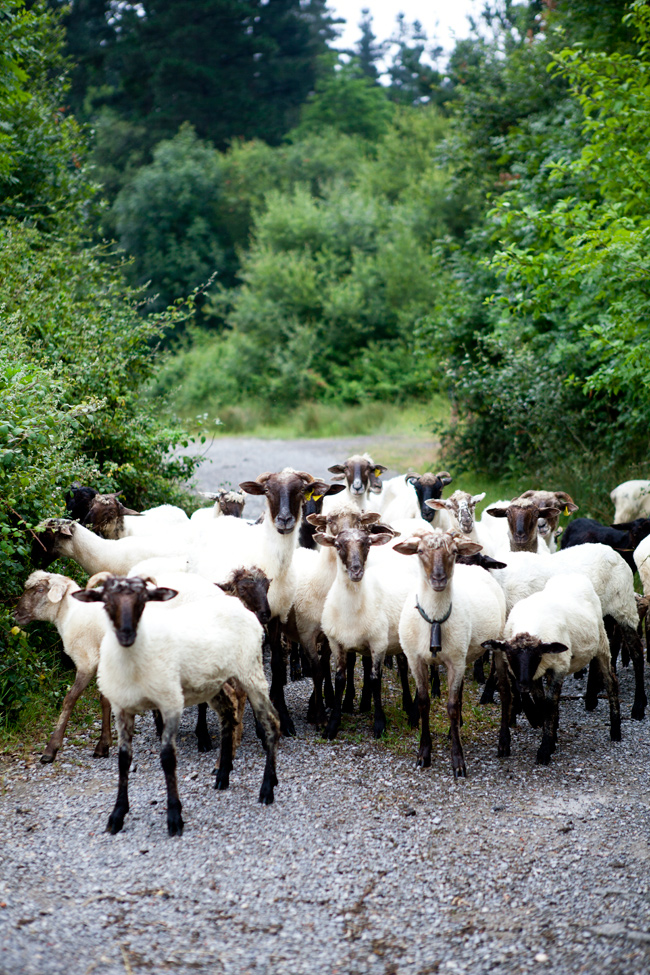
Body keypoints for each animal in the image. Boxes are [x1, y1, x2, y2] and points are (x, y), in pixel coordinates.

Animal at [13, 568, 112, 768]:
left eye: (40, 590)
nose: (16, 613)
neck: (69, 614)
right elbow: (104, 700)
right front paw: (103, 745)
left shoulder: (86, 661)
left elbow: (69, 699)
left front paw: (51, 749)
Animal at [73, 580, 278, 840]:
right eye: (106, 603)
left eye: (143, 602)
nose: (127, 634)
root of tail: (239, 605)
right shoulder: (122, 709)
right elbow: (123, 760)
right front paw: (117, 815)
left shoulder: (170, 703)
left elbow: (168, 759)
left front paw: (174, 817)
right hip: (214, 682)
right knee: (228, 715)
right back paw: (223, 776)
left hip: (250, 669)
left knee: (271, 721)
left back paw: (268, 788)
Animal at [394, 528, 506, 780]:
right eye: (420, 551)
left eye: (453, 551)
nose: (438, 580)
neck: (435, 619)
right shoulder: (416, 660)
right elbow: (423, 702)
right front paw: (423, 755)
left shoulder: (455, 662)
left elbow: (452, 707)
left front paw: (458, 762)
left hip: (494, 647)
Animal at [478, 576, 620, 768]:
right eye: (510, 656)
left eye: (536, 655)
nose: (523, 685)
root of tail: (573, 575)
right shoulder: (535, 674)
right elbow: (541, 702)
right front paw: (550, 741)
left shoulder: (558, 667)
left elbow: (550, 703)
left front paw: (545, 750)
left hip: (602, 643)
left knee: (611, 682)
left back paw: (616, 731)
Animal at [486, 544, 644, 720]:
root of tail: (610, 550)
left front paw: (532, 714)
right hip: (601, 617)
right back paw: (591, 699)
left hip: (624, 607)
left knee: (636, 652)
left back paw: (638, 706)